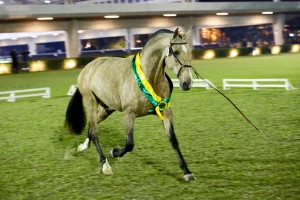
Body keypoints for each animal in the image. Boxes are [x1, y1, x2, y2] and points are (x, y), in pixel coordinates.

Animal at [65, 27, 196, 181]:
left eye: (189, 51)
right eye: (175, 51)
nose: (187, 83)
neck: (149, 77)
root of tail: (88, 67)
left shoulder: (166, 112)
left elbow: (173, 140)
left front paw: (187, 172)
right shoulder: (129, 114)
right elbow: (129, 144)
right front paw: (114, 152)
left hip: (106, 108)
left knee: (92, 125)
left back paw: (83, 147)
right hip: (91, 102)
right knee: (95, 131)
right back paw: (105, 164)